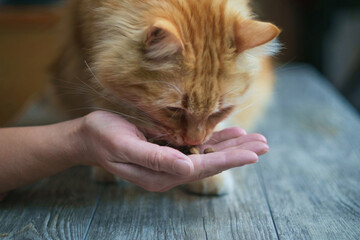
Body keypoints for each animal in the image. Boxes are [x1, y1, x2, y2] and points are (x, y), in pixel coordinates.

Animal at [52, 0, 280, 195]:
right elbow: (112, 105)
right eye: (174, 109)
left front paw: (209, 179)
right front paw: (107, 170)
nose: (194, 141)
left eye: (221, 111)